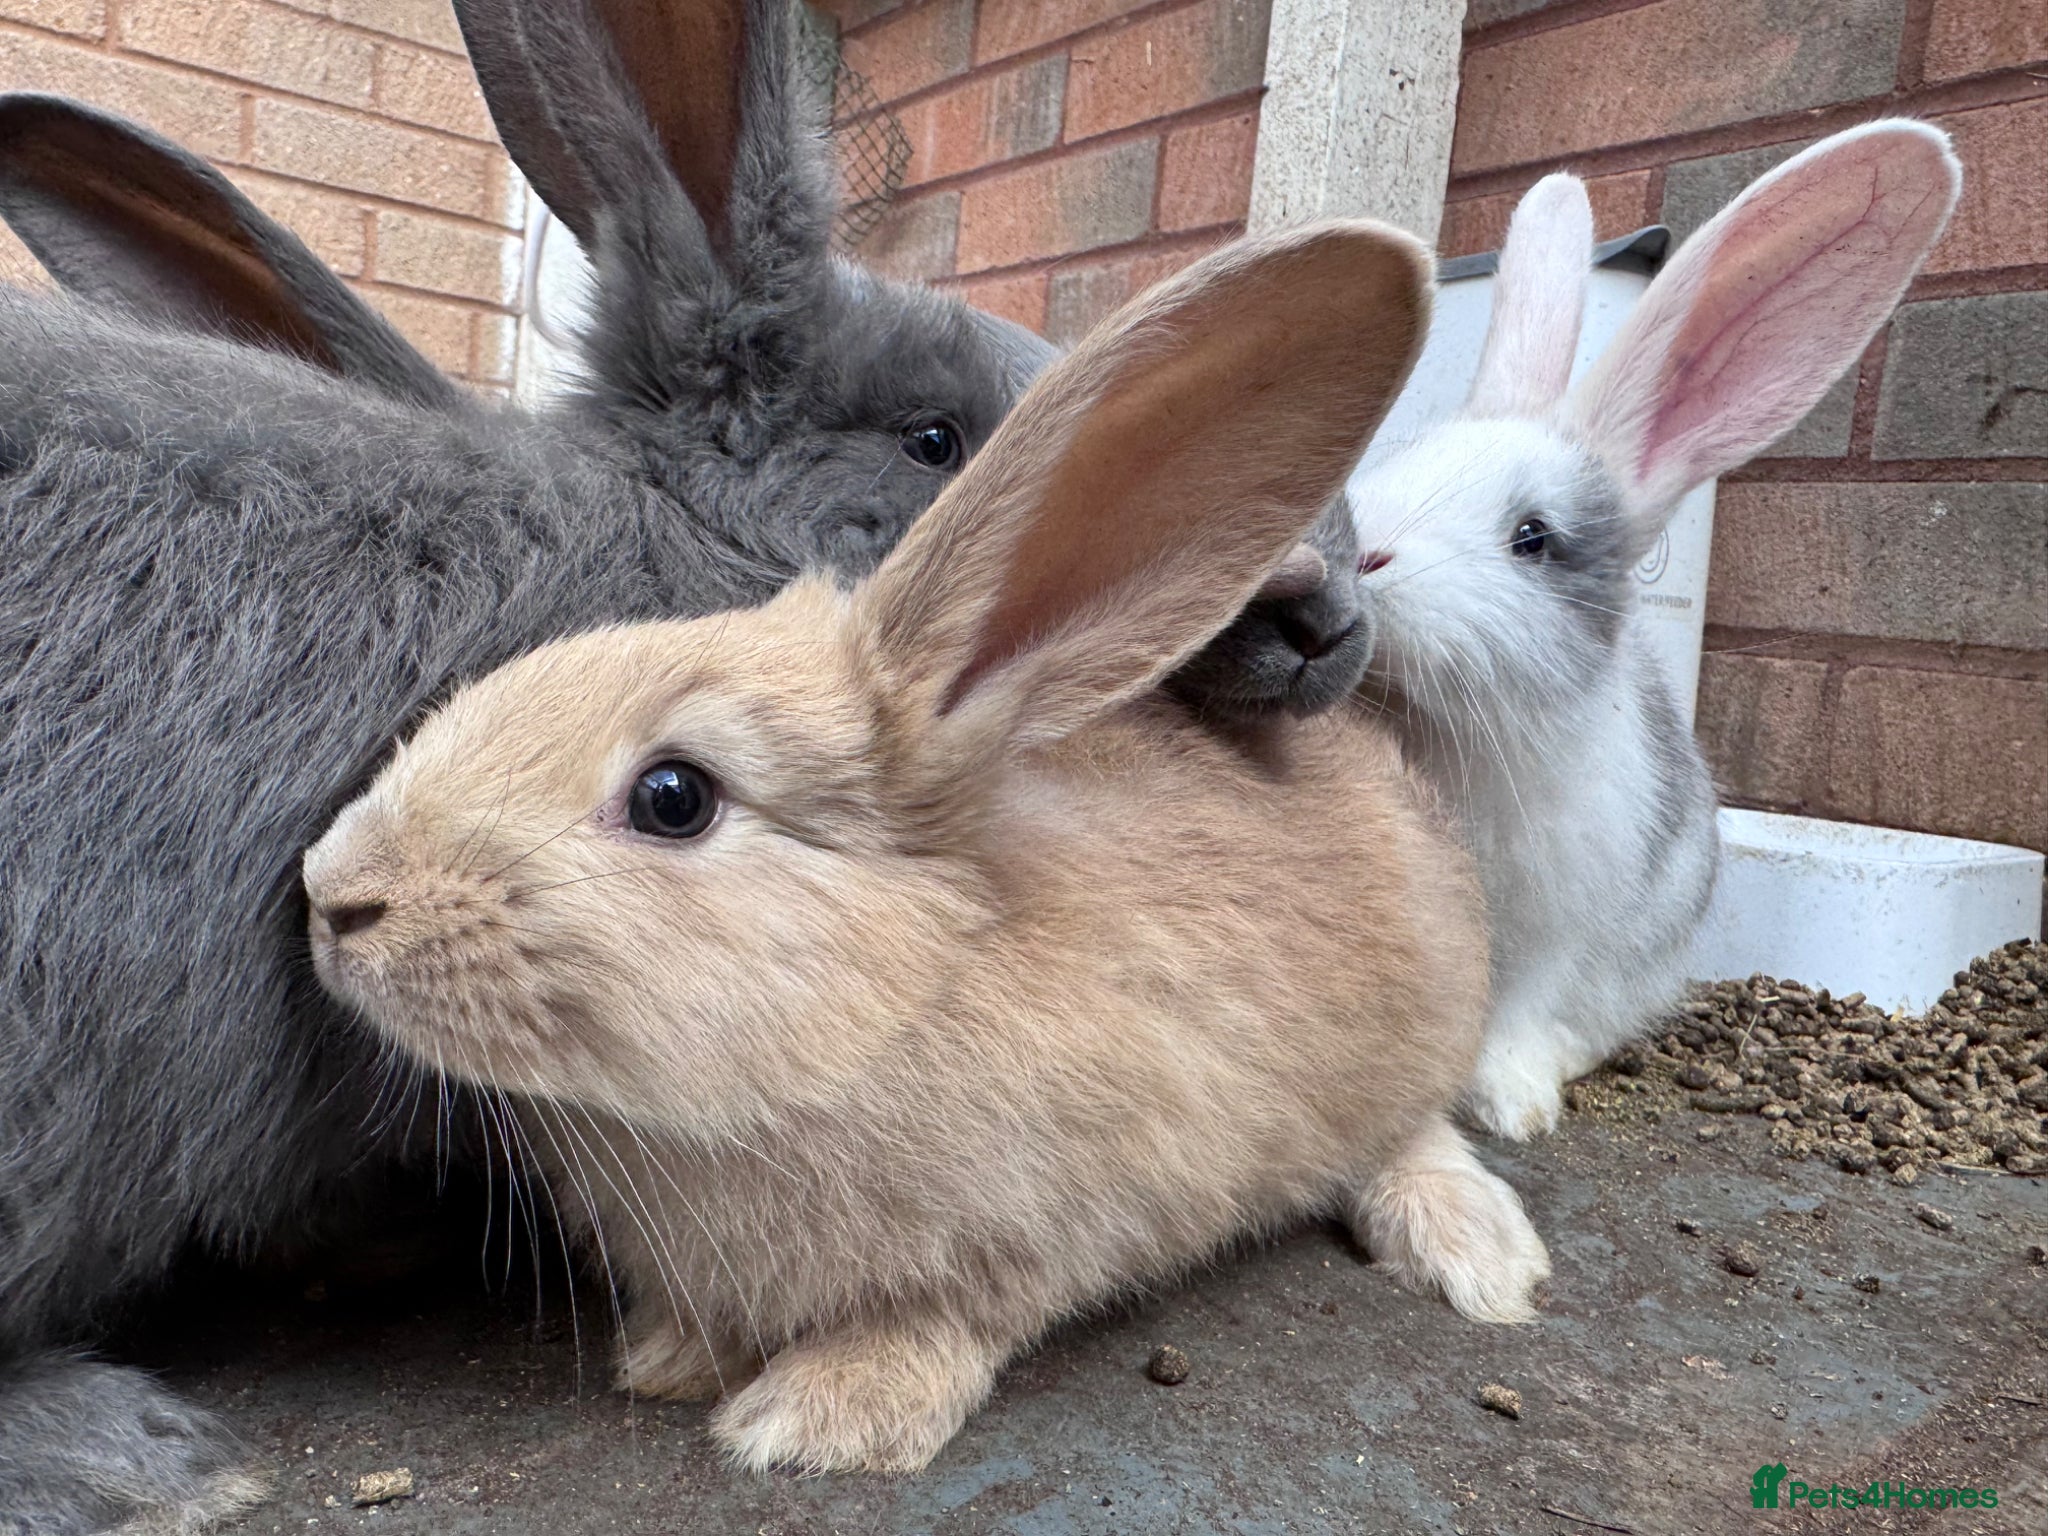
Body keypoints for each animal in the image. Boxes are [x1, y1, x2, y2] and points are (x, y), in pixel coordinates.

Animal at [301, 219, 1553, 1478]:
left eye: (672, 797)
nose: (335, 896)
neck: (887, 1008)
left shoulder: (1037, 1232)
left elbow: (945, 1323)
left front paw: (816, 1420)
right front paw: (668, 1359)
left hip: (1411, 1040)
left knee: (1416, 1134)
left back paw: (1481, 1262)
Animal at [1335, 121, 1962, 1140]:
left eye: (1532, 538)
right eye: (1395, 466)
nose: (1360, 559)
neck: (1452, 736)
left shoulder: (1559, 928)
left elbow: (1518, 1010)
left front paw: (1510, 1108)